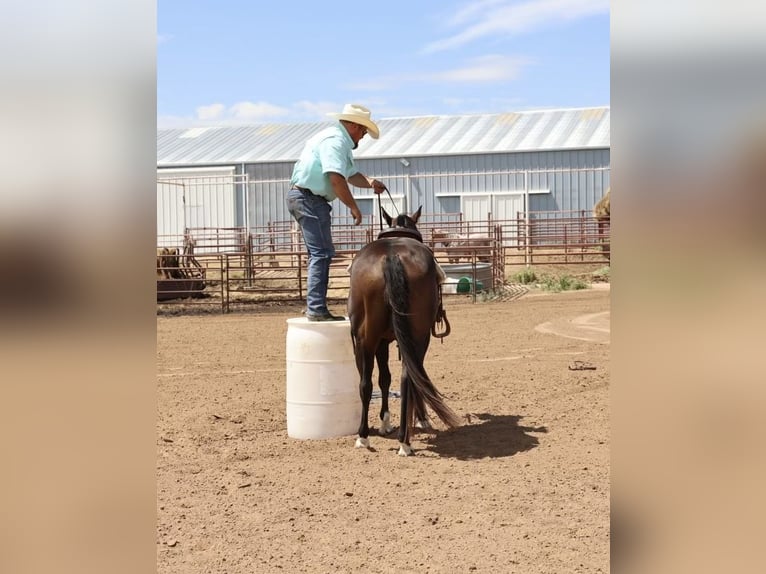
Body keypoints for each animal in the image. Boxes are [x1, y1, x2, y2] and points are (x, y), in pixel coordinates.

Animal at [348, 207, 462, 460]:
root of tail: (391, 257)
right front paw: (420, 418)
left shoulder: (381, 341)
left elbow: (383, 378)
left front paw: (386, 422)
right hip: (417, 336)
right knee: (407, 378)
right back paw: (404, 440)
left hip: (365, 339)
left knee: (365, 383)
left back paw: (364, 436)